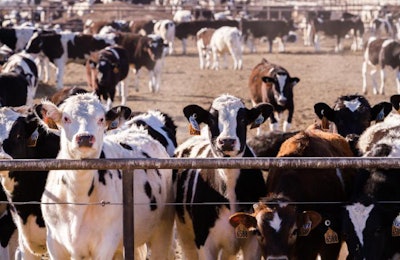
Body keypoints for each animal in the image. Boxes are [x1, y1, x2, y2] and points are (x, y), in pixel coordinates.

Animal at [40, 93, 175, 260]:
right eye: (66, 118)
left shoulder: (106, 243)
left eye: (101, 119)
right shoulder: (54, 243)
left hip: (162, 232)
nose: (85, 137)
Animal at [176, 93, 274, 258]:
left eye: (242, 119)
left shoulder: (253, 242)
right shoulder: (204, 240)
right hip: (185, 235)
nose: (227, 141)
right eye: (211, 119)